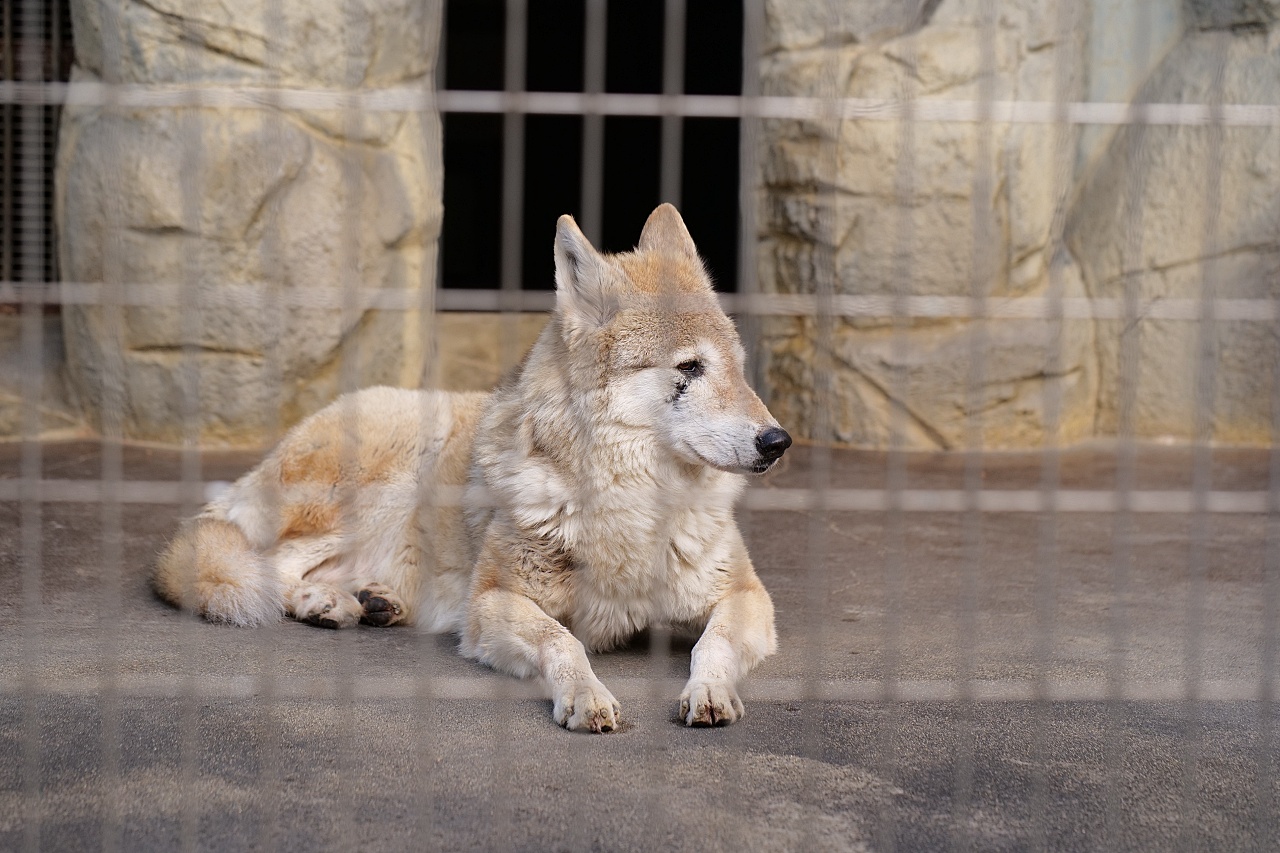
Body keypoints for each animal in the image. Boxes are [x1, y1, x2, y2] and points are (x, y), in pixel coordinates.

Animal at [151, 204, 788, 732]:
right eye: (690, 367)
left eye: (737, 368)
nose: (777, 441)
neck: (632, 511)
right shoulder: (491, 604)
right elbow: (564, 643)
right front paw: (587, 698)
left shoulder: (748, 597)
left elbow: (712, 646)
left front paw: (708, 693)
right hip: (388, 480)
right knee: (264, 564)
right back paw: (328, 604)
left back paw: (374, 601)